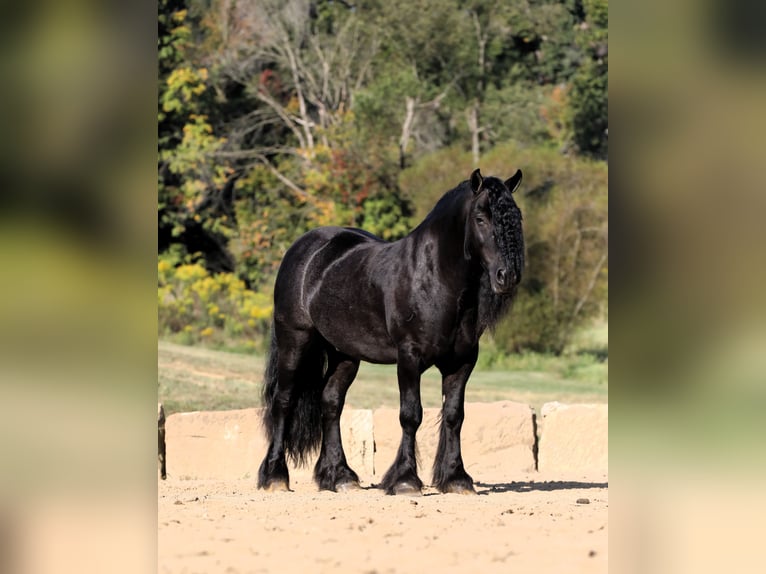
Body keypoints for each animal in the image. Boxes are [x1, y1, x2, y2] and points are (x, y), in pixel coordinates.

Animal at [260, 168, 524, 496]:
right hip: (294, 340)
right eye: (480, 218)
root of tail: (304, 248)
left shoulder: (461, 362)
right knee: (283, 402)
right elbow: (411, 415)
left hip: (344, 354)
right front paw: (405, 479)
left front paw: (456, 478)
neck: (434, 279)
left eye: (516, 217)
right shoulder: (409, 357)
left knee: (330, 402)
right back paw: (275, 477)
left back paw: (340, 476)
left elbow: (454, 415)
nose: (507, 276)